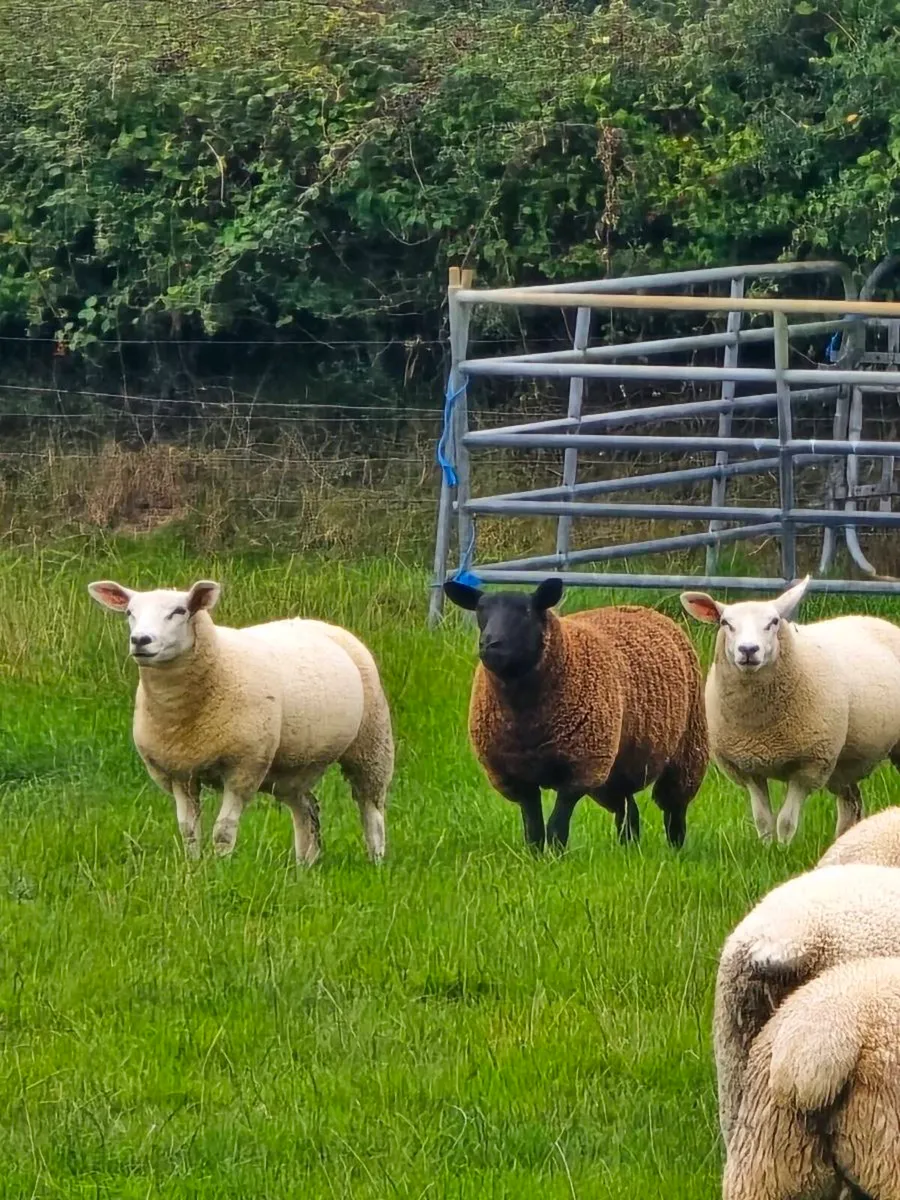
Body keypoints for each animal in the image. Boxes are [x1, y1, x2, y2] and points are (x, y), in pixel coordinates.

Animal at [87, 578, 394, 864]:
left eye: (179, 611)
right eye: (130, 612)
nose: (140, 640)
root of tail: (317, 622)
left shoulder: (243, 767)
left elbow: (223, 830)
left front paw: (221, 866)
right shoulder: (179, 773)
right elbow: (188, 830)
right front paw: (193, 866)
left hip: (371, 742)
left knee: (371, 808)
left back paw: (376, 860)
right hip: (292, 764)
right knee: (306, 808)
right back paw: (304, 865)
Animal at [442, 577, 708, 851]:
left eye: (526, 611)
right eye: (480, 610)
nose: (490, 644)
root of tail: (644, 609)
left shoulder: (581, 767)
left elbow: (557, 824)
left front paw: (555, 855)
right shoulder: (515, 776)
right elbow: (533, 827)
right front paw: (535, 856)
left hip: (687, 748)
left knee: (673, 808)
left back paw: (675, 848)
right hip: (614, 765)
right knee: (627, 808)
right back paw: (629, 848)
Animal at [680, 574, 900, 847]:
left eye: (773, 622)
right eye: (725, 623)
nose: (748, 650)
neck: (760, 727)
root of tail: (869, 618)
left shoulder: (809, 767)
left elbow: (785, 821)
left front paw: (784, 848)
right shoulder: (748, 769)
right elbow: (763, 820)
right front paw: (766, 848)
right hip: (843, 763)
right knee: (852, 803)